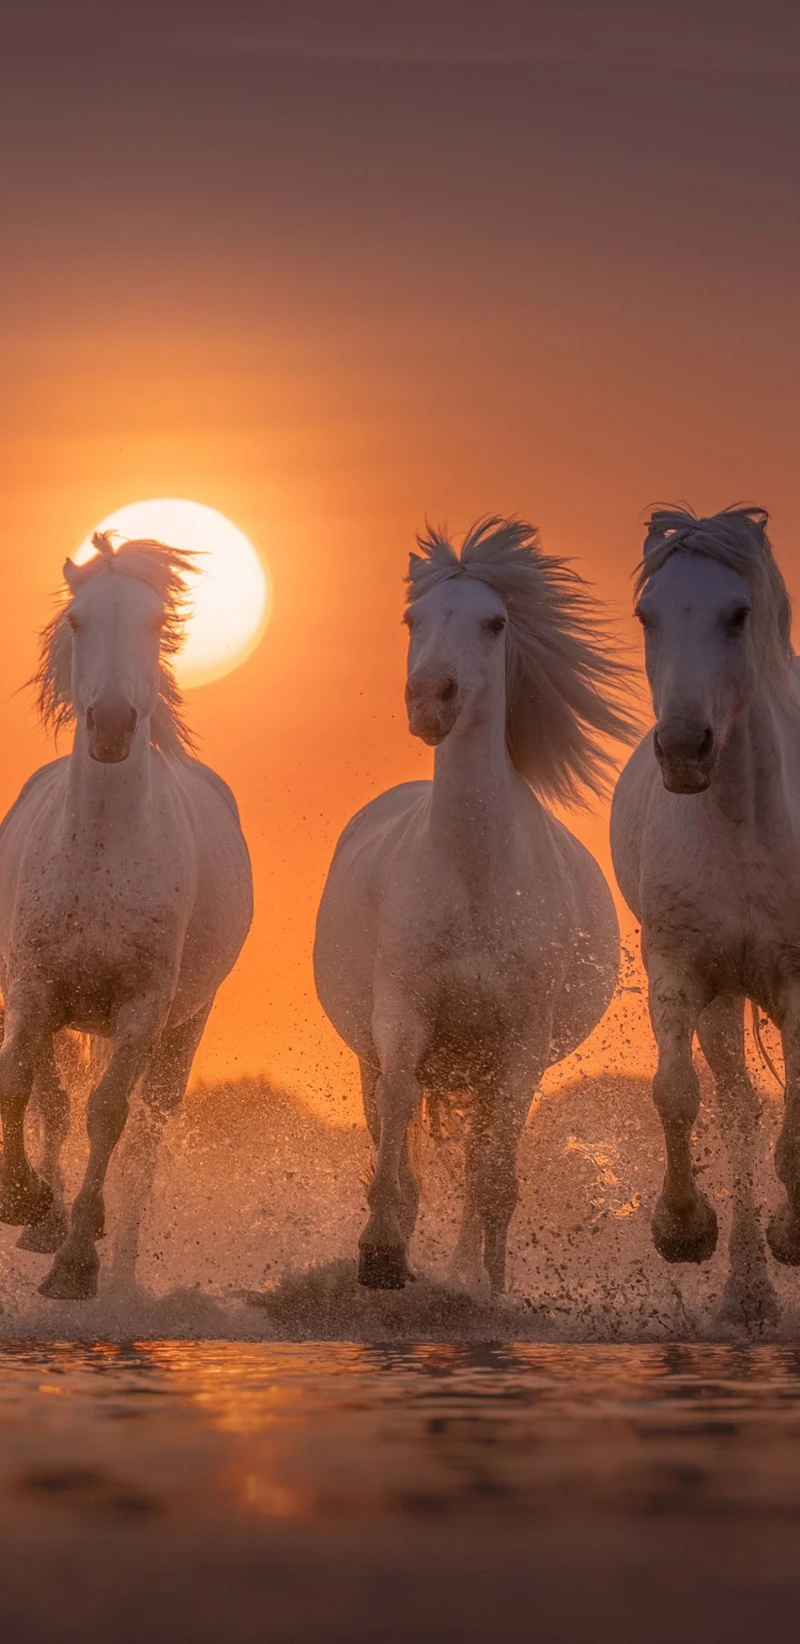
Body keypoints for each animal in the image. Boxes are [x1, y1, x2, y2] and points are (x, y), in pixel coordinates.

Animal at [0, 532, 253, 1300]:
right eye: (78, 621)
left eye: (153, 623)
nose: (111, 726)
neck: (104, 852)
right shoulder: (34, 990)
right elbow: (19, 1085)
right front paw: (24, 1202)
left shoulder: (142, 1009)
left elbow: (107, 1116)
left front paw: (77, 1261)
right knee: (54, 1101)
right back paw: (45, 1219)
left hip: (180, 1030)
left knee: (142, 1143)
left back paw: (120, 1270)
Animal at [314, 516, 636, 1292]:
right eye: (413, 619)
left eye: (494, 622)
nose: (431, 699)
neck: (473, 879)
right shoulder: (402, 1015)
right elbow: (397, 1126)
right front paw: (381, 1252)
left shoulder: (518, 1046)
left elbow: (492, 1175)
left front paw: (486, 1289)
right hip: (383, 1054)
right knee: (397, 1122)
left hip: (484, 1070)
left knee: (477, 1157)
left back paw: (465, 1271)